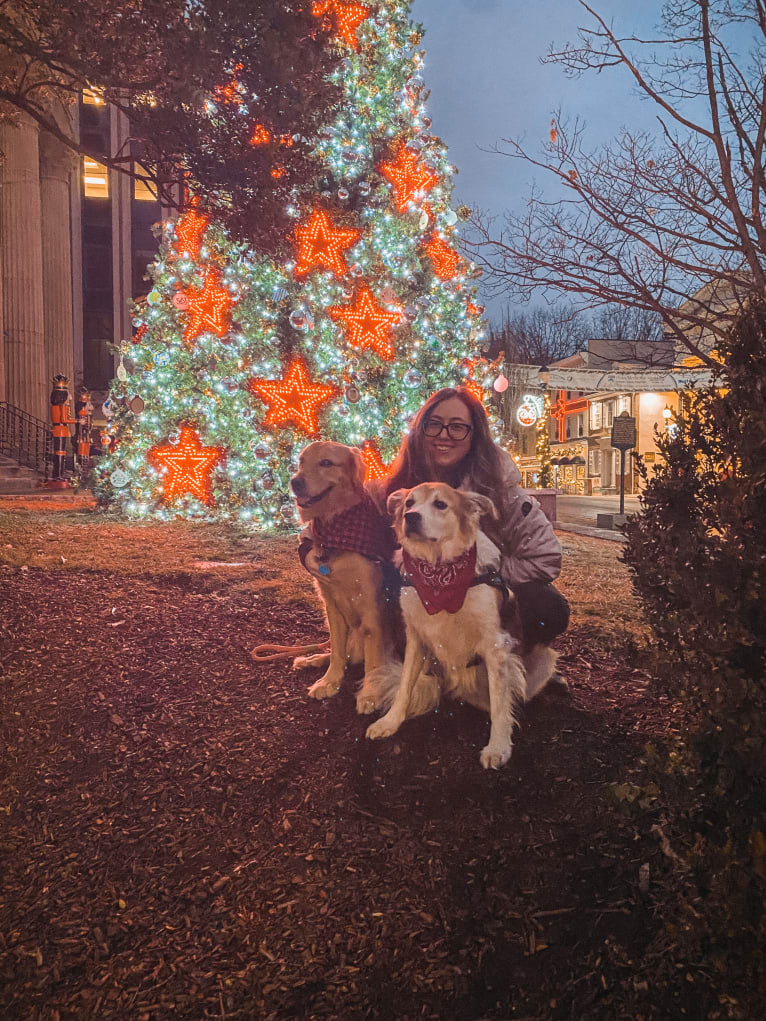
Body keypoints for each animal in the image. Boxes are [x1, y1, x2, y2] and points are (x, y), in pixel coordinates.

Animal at [365, 481, 559, 767]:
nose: (410, 517)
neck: (439, 574)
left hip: (544, 657)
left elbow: (500, 704)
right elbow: (404, 687)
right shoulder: (416, 639)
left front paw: (498, 746)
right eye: (409, 503)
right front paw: (390, 722)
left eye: (440, 504)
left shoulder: (496, 645)